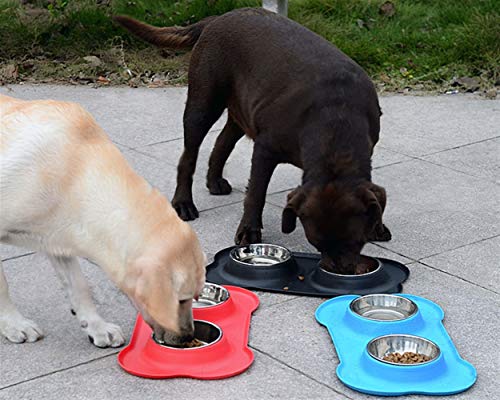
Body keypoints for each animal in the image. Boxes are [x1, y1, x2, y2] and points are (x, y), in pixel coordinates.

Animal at [0, 94, 206, 346]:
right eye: (181, 300)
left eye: (196, 297)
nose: (189, 336)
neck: (74, 174)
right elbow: (2, 287)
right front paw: (14, 324)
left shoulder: (56, 237)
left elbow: (80, 287)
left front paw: (96, 327)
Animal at [115, 7, 392, 276]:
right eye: (317, 244)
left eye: (357, 242)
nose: (340, 271)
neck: (336, 123)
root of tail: (218, 18)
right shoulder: (265, 149)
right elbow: (256, 193)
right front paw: (249, 231)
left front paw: (378, 226)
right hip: (203, 103)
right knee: (188, 156)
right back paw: (183, 203)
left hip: (242, 112)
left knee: (222, 142)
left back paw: (214, 181)